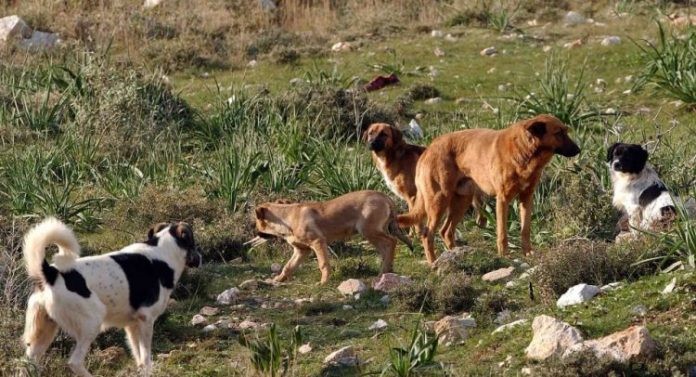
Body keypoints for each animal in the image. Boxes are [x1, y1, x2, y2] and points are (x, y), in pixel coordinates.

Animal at [22, 217, 201, 376]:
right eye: (193, 241)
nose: (201, 259)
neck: (163, 251)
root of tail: (51, 273)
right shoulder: (146, 320)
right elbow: (146, 358)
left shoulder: (132, 325)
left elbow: (139, 358)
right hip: (92, 322)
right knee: (75, 362)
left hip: (44, 332)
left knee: (28, 364)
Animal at [247, 189, 410, 284]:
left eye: (257, 223)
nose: (255, 234)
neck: (287, 219)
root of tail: (385, 197)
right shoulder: (301, 250)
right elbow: (288, 266)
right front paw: (279, 279)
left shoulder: (318, 242)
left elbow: (323, 264)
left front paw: (324, 282)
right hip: (372, 233)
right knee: (385, 248)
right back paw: (385, 271)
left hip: (369, 230)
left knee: (391, 242)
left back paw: (385, 270)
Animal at [396, 114, 580, 262]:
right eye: (559, 133)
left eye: (565, 131)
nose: (579, 150)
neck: (525, 152)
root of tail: (428, 149)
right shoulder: (503, 200)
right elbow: (502, 233)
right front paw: (504, 255)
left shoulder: (526, 198)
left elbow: (525, 230)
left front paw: (528, 253)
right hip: (438, 201)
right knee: (427, 234)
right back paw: (434, 263)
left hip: (462, 201)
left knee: (446, 231)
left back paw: (455, 256)